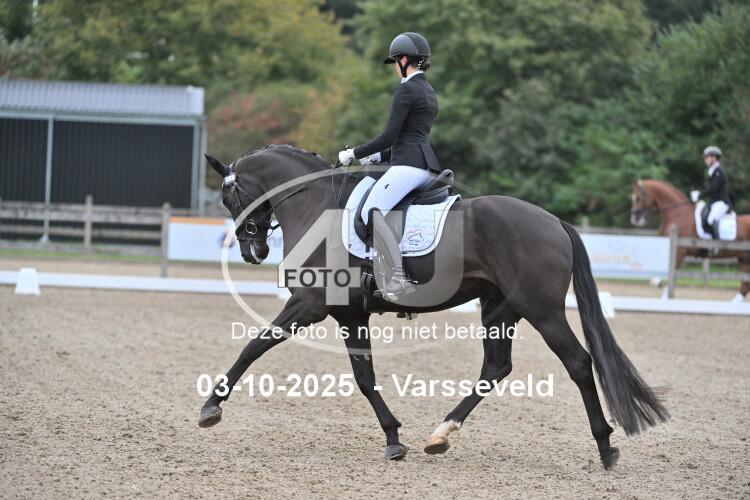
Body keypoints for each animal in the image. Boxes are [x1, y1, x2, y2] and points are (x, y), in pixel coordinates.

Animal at [198, 144, 668, 469]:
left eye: (229, 199)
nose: (253, 252)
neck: (317, 205)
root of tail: (555, 221)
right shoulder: (350, 314)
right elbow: (364, 378)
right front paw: (393, 439)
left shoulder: (309, 305)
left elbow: (254, 346)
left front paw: (211, 407)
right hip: (500, 308)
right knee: (496, 366)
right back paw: (440, 434)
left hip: (542, 310)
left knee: (578, 363)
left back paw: (605, 447)